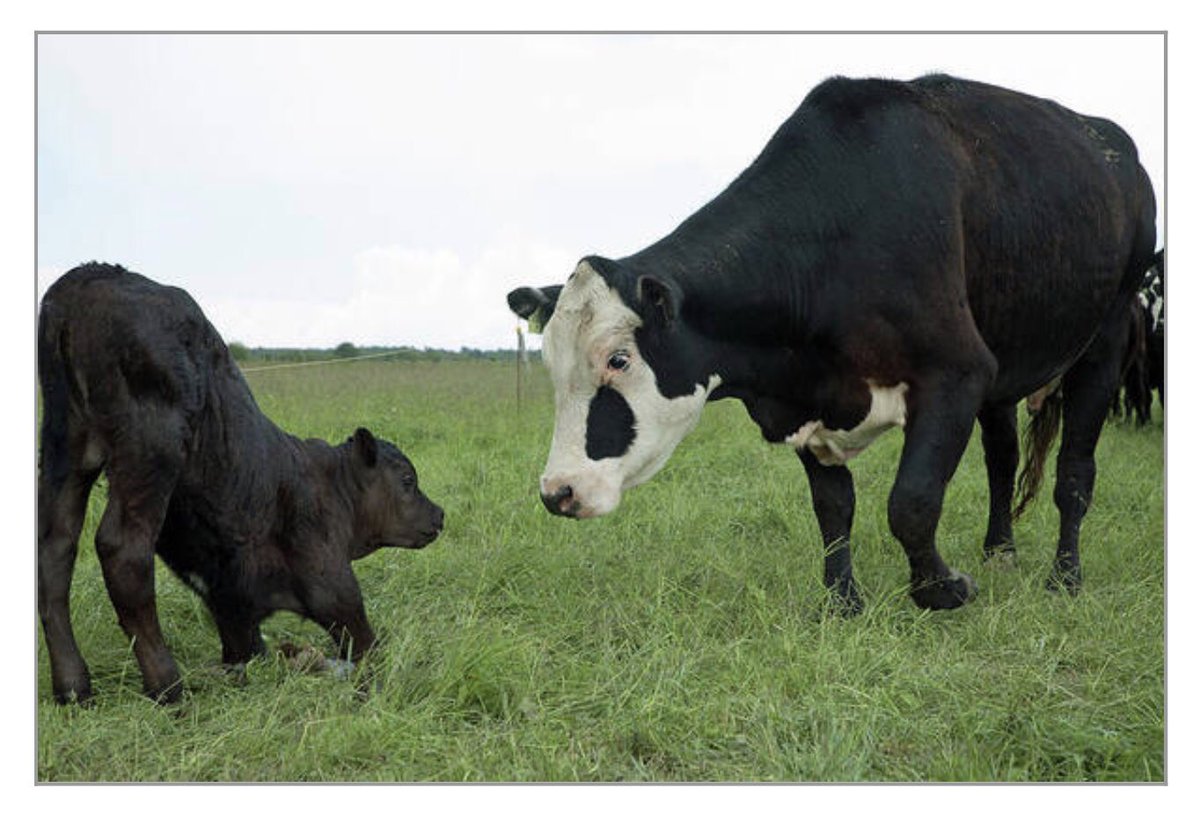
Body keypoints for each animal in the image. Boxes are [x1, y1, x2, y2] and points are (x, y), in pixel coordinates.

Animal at [37, 263, 445, 704]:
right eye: (407, 479)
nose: (439, 514)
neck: (331, 489)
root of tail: (92, 276)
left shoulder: (234, 610)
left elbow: (251, 653)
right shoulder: (334, 585)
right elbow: (368, 647)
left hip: (65, 444)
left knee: (55, 546)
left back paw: (74, 689)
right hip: (151, 448)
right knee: (122, 550)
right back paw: (170, 687)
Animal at [508, 74, 1157, 613]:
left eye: (618, 359)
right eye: (551, 366)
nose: (558, 491)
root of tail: (1109, 141)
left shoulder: (957, 372)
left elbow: (912, 501)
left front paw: (943, 589)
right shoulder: (806, 399)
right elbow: (833, 507)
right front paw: (843, 601)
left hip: (1104, 340)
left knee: (1074, 473)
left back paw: (1065, 577)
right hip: (1006, 368)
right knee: (1002, 460)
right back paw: (1000, 552)